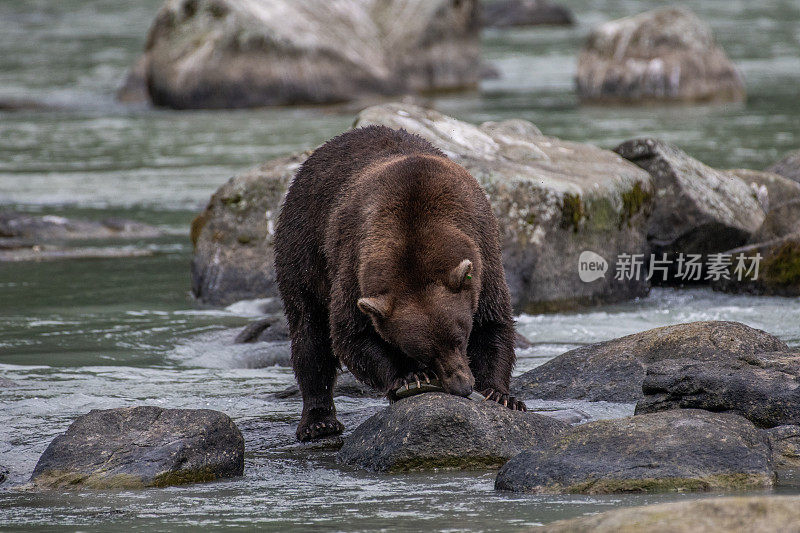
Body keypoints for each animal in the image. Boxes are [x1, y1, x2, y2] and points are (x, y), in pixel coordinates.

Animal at [276, 124, 524, 440]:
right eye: (423, 352)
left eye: (460, 339)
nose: (462, 386)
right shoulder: (354, 264)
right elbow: (351, 333)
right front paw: (411, 375)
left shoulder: (483, 251)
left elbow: (493, 321)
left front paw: (500, 394)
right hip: (303, 248)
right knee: (309, 331)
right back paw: (318, 421)